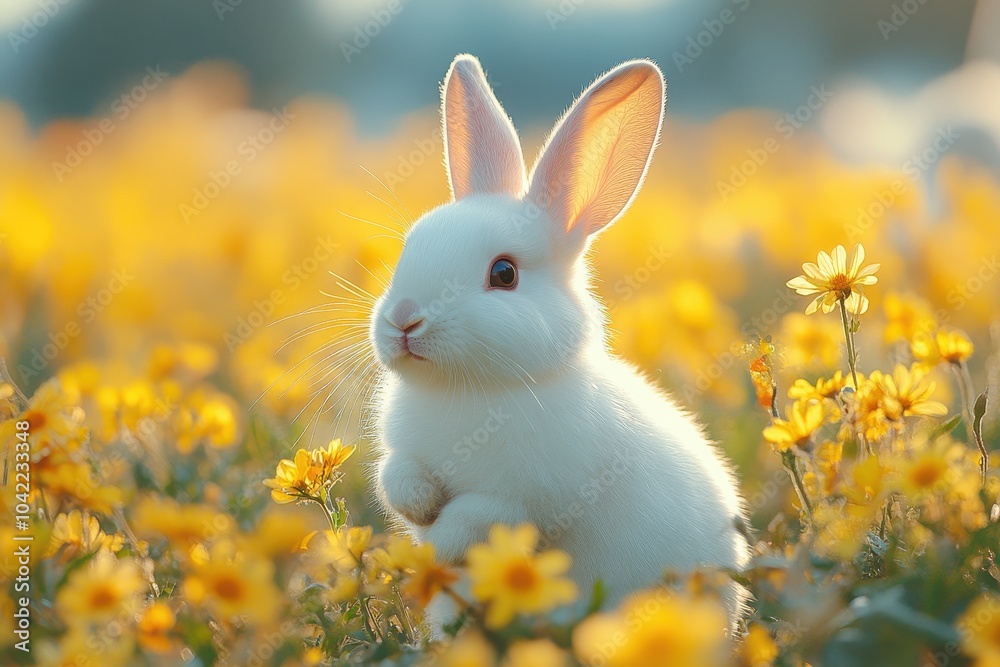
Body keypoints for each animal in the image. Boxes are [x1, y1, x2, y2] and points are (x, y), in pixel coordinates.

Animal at [369, 54, 750, 629]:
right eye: (409, 247)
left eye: (504, 274)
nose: (404, 320)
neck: (471, 389)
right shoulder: (403, 453)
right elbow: (396, 474)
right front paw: (420, 506)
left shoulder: (524, 501)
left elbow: (479, 517)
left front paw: (441, 542)